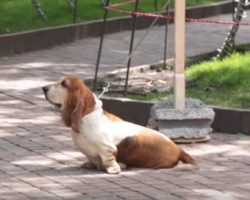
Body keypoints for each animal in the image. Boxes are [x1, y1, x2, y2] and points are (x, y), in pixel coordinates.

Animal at [43, 76, 199, 174]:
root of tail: (179, 149)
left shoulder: (107, 148)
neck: (86, 116)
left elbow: (109, 160)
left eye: (64, 84)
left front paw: (113, 169)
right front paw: (89, 164)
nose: (43, 88)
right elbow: (91, 158)